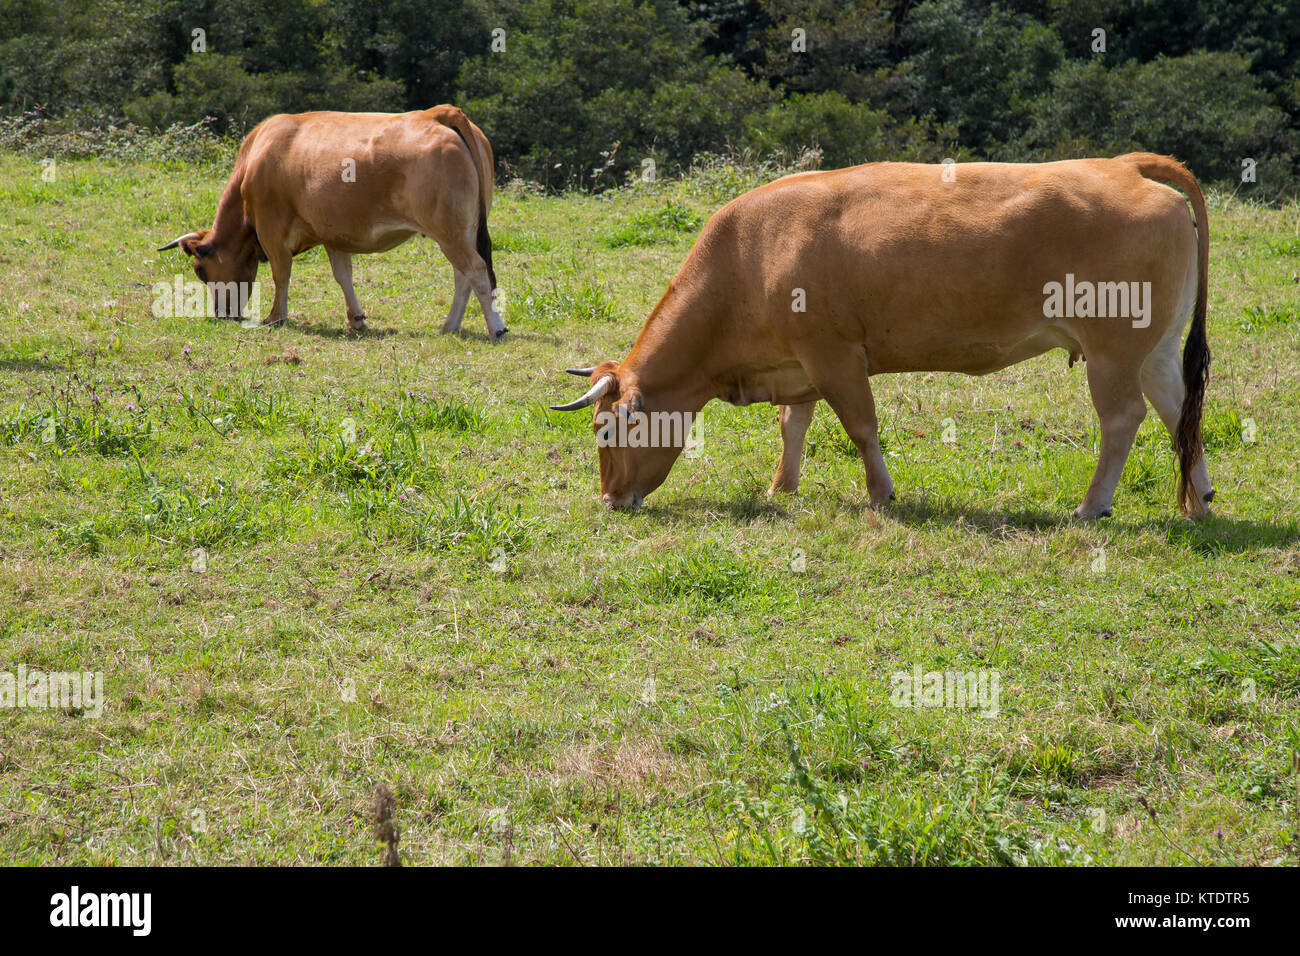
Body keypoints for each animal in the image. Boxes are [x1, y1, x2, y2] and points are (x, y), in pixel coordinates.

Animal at [158, 106, 505, 339]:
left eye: (200, 271)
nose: (222, 315)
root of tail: (439, 112)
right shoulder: (334, 234)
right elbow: (343, 276)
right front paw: (356, 318)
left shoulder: (272, 230)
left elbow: (281, 274)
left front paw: (275, 316)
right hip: (462, 231)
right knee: (463, 276)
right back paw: (450, 326)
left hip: (449, 232)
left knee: (475, 270)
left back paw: (496, 328)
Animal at [551, 154, 1214, 520]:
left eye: (605, 430)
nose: (610, 500)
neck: (749, 256)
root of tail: (1123, 165)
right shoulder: (801, 363)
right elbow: (793, 425)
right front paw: (781, 487)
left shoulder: (835, 355)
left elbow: (861, 428)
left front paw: (880, 493)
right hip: (1153, 351)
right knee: (1180, 411)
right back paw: (1200, 498)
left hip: (1112, 351)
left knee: (1123, 420)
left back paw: (1091, 504)